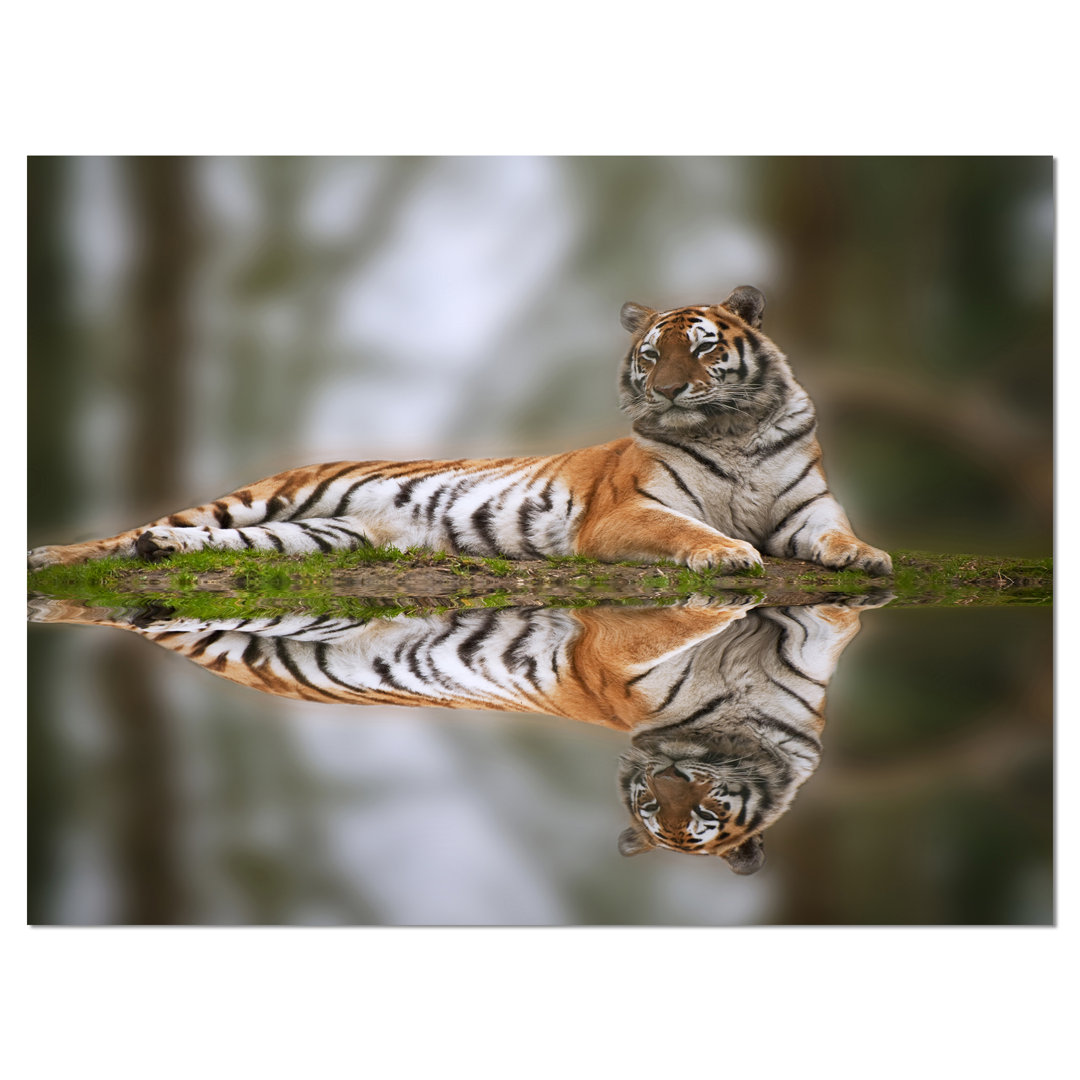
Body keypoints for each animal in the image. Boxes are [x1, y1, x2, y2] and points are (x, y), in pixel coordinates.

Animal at [28, 286, 891, 577]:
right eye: (653, 354)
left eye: (704, 349)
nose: (669, 388)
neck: (731, 432)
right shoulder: (627, 514)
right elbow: (690, 531)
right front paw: (726, 554)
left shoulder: (808, 511)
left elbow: (839, 535)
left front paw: (870, 557)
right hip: (258, 500)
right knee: (138, 530)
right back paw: (56, 556)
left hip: (315, 537)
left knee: (203, 542)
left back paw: (158, 552)